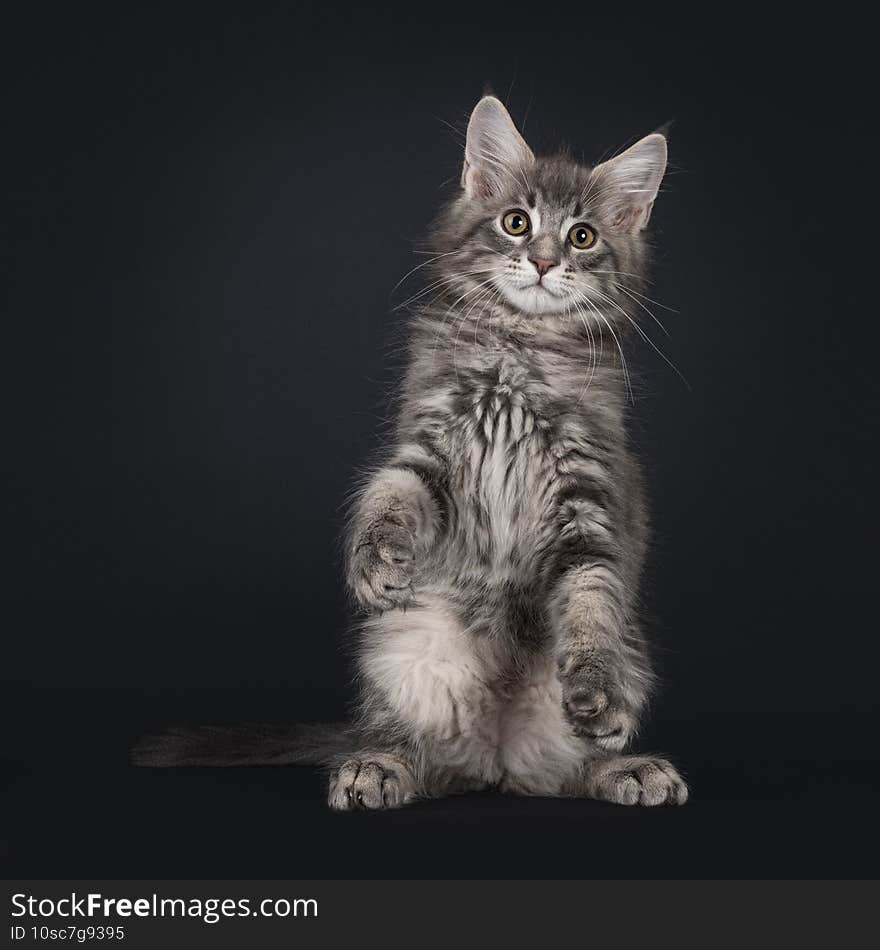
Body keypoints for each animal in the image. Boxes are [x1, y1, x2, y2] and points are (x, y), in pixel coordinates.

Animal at [136, 95, 688, 812]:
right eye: (516, 223)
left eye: (583, 237)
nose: (542, 261)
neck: (517, 351)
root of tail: (495, 759)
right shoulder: (427, 448)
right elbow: (389, 492)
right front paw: (374, 559)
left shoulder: (591, 498)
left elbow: (593, 599)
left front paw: (596, 688)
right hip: (402, 648)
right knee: (415, 752)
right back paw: (376, 768)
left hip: (627, 661)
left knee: (566, 770)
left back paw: (628, 769)